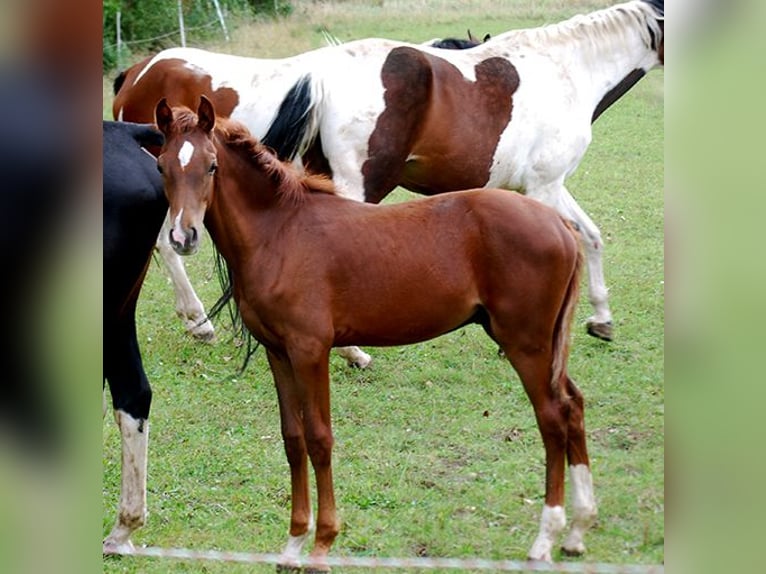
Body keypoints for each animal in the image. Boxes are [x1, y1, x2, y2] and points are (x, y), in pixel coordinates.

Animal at [113, 0, 664, 345]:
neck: (567, 70)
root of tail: (139, 72)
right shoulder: (544, 186)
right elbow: (582, 238)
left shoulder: (544, 188)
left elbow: (591, 237)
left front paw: (601, 319)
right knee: (168, 245)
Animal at [153, 95, 596, 567]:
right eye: (162, 166)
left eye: (212, 165)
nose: (183, 236)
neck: (280, 232)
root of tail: (559, 225)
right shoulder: (278, 351)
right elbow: (293, 439)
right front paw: (293, 543)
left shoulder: (310, 351)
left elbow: (320, 439)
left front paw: (323, 542)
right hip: (539, 344)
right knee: (573, 405)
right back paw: (577, 530)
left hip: (526, 344)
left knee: (552, 418)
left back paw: (545, 538)